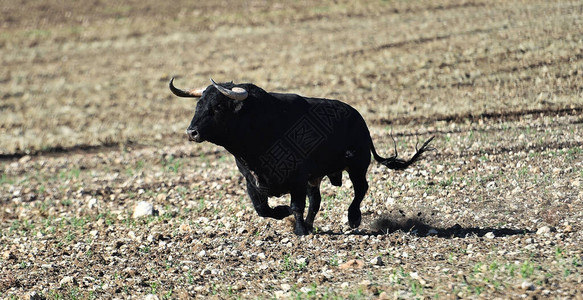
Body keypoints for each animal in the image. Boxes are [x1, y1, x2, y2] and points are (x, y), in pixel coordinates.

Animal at [169, 78, 434, 236]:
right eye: (198, 105)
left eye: (217, 106)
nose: (191, 132)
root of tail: (358, 118)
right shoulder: (251, 180)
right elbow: (263, 209)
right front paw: (284, 214)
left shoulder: (297, 178)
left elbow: (296, 205)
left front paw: (297, 228)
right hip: (316, 177)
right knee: (317, 201)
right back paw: (310, 223)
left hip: (357, 165)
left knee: (360, 189)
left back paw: (353, 218)